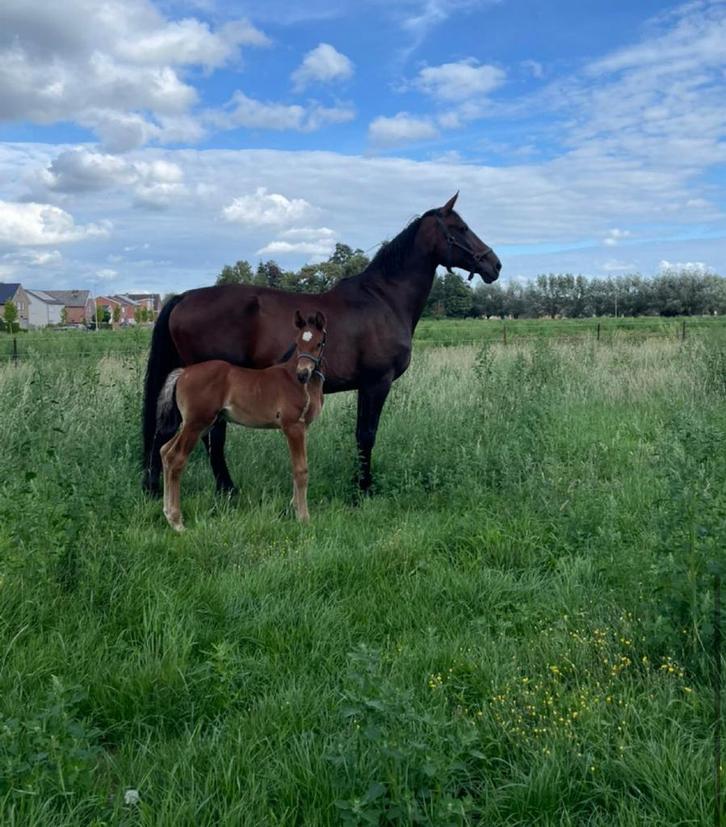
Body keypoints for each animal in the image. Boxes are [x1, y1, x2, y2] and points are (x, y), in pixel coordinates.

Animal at [142, 192, 501, 497]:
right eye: (460, 228)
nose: (494, 265)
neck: (383, 299)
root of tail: (184, 297)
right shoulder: (376, 383)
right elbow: (366, 435)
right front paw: (363, 490)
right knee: (210, 437)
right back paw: (226, 491)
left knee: (170, 431)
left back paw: (156, 487)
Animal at [156, 310, 327, 531]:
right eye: (298, 342)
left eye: (319, 343)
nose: (302, 373)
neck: (299, 383)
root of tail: (184, 372)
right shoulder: (293, 426)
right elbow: (301, 470)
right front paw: (304, 518)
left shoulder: (303, 428)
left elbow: (296, 468)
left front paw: (294, 508)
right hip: (196, 424)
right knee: (176, 458)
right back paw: (177, 523)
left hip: (196, 425)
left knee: (165, 451)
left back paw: (168, 514)